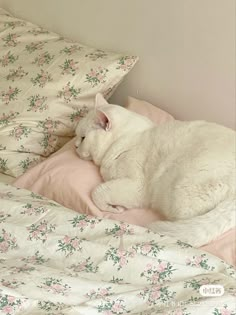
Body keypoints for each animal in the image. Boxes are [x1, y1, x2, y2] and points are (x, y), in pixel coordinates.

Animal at [74, 94, 235, 247]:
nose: (74, 145)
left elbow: (97, 192)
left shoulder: (137, 188)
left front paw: (114, 208)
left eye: (83, 138)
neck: (126, 136)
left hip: (181, 192)